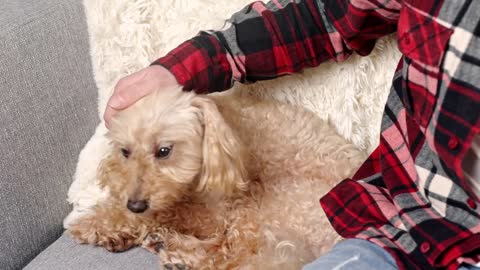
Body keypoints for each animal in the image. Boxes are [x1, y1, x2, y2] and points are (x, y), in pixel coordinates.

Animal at [67, 87, 366, 270]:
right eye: (125, 151)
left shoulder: (215, 211)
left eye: (164, 151)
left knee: (232, 257)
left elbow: (165, 211)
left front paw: (96, 224)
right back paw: (167, 244)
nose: (135, 205)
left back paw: (179, 255)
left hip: (268, 202)